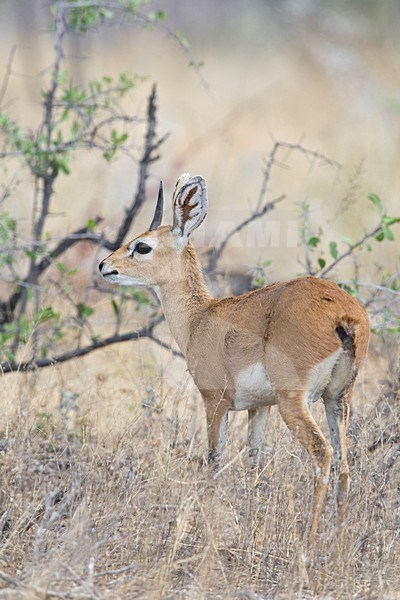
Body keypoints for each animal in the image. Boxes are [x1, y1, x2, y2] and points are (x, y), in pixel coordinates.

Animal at [99, 173, 368, 544]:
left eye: (142, 246)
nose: (104, 266)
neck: (200, 318)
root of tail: (345, 315)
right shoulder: (260, 407)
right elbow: (254, 463)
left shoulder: (215, 401)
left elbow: (214, 459)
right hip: (338, 399)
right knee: (344, 463)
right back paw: (339, 546)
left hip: (295, 401)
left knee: (322, 453)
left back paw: (308, 543)